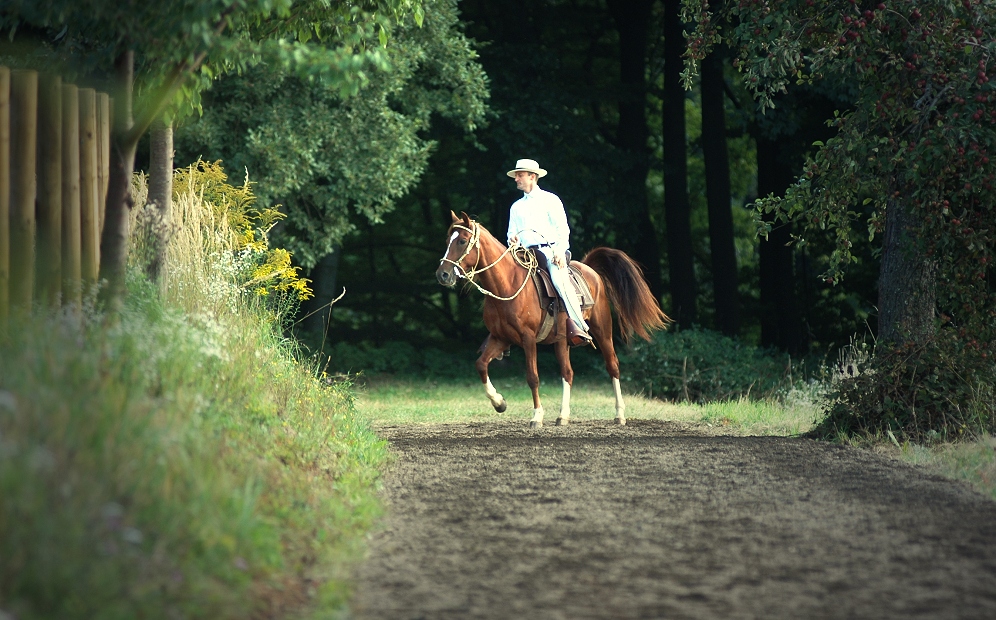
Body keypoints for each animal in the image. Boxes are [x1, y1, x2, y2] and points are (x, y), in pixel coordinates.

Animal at [434, 211, 668, 428]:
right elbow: (481, 365)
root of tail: (590, 270)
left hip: (603, 332)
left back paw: (619, 415)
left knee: (613, 367)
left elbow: (532, 376)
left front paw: (537, 416)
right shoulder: (500, 338)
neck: (508, 284)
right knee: (568, 373)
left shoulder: (528, 339)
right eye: (447, 241)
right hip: (562, 341)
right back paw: (563, 416)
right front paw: (499, 403)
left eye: (462, 241)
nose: (442, 274)